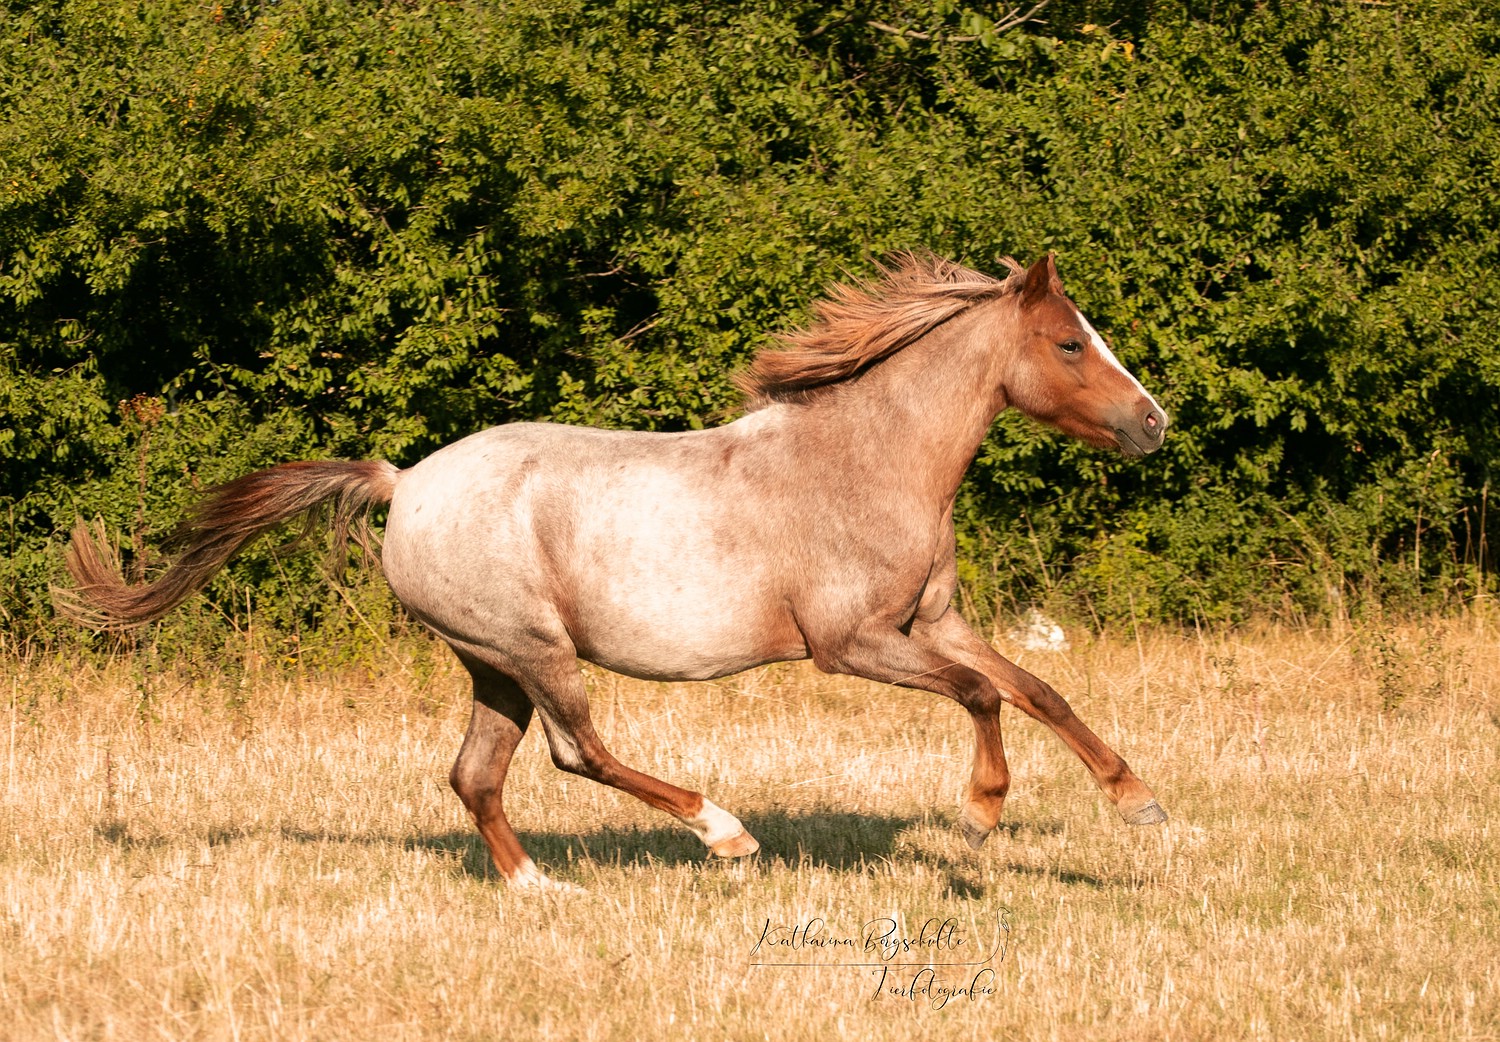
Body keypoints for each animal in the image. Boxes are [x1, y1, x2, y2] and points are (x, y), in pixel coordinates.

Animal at [61, 250, 1170, 887]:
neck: (867, 458)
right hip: (532, 650)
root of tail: (403, 482)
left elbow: (1040, 690)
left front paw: (1140, 804)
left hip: (491, 665)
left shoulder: (933, 623)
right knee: (577, 752)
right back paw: (725, 835)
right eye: (1071, 343)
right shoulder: (851, 643)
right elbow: (985, 697)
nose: (1155, 425)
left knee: (476, 776)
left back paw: (540, 889)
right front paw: (980, 820)